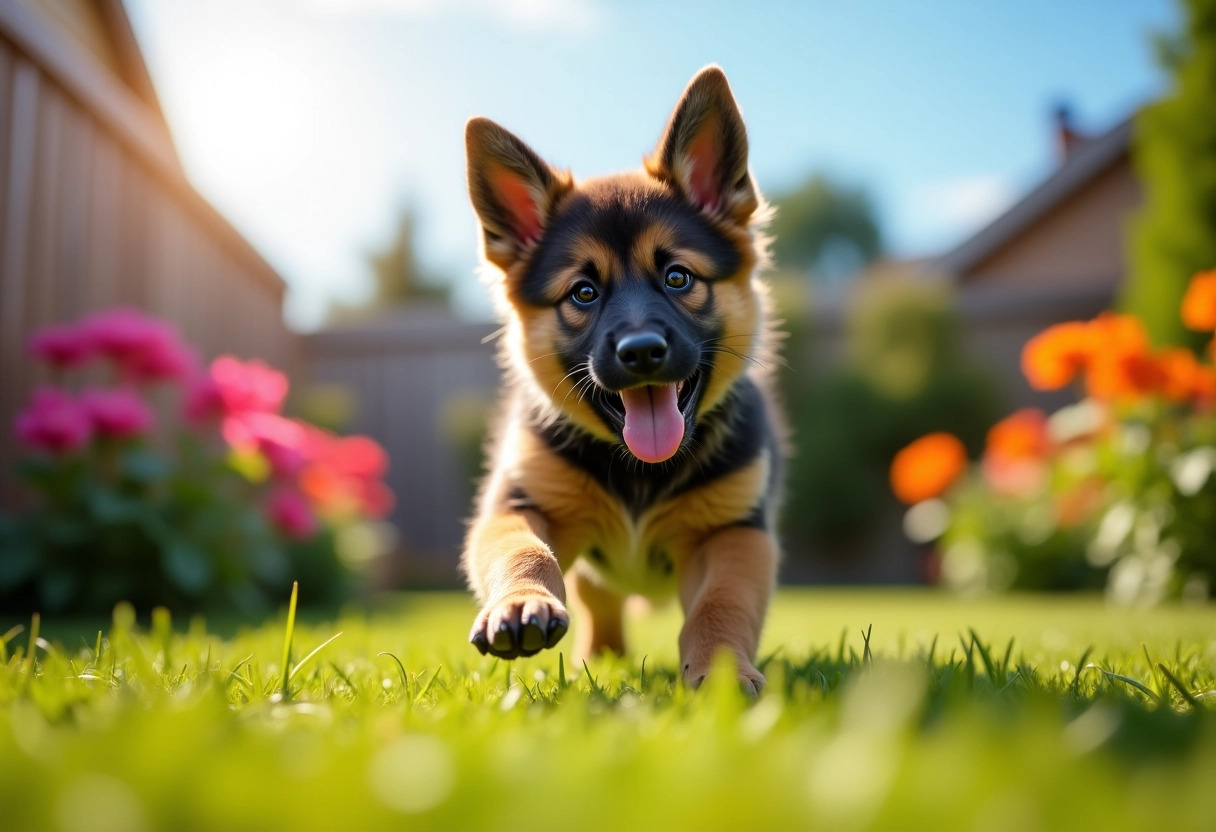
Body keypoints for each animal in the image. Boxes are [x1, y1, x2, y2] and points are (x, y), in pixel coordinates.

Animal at [459, 65, 783, 690]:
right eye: (583, 293)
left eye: (679, 278)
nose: (642, 353)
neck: (641, 473)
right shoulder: (518, 504)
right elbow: (522, 550)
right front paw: (522, 602)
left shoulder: (735, 535)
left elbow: (721, 603)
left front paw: (721, 670)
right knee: (599, 602)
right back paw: (601, 653)